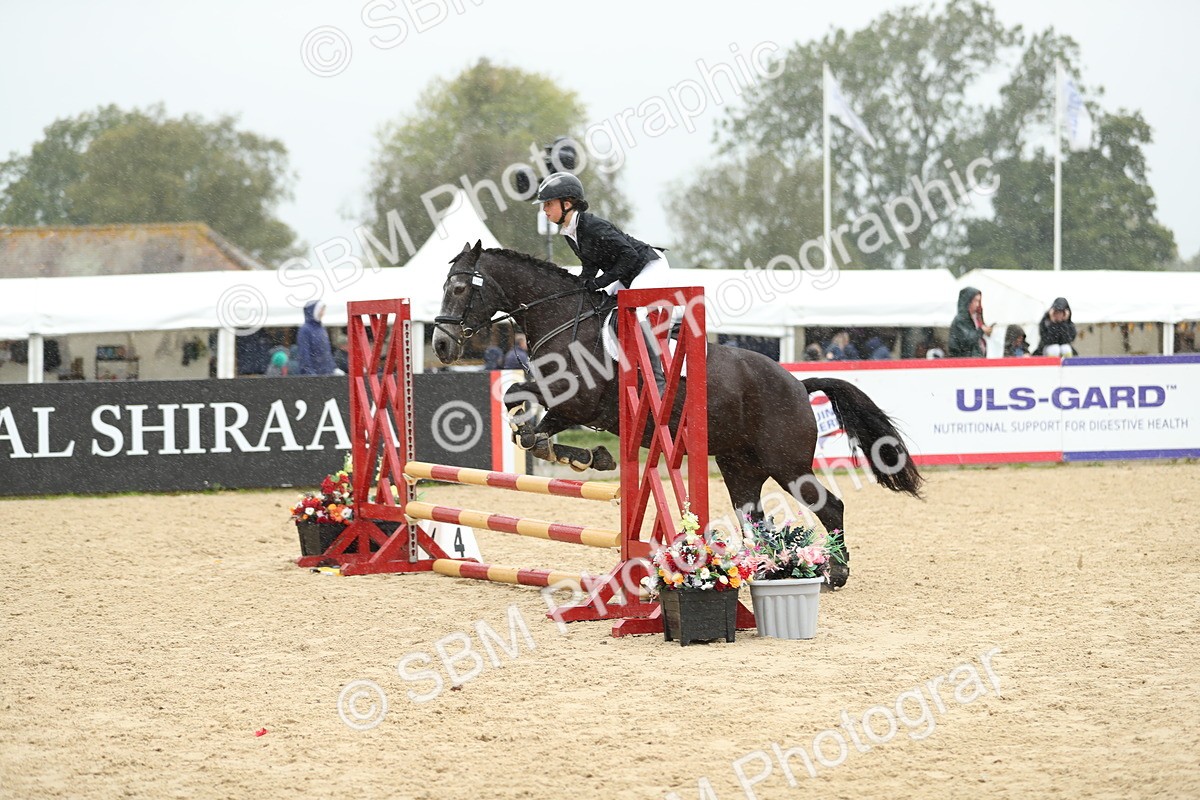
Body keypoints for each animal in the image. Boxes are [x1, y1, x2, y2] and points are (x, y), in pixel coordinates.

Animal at [430, 241, 923, 588]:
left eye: (459, 288)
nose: (441, 346)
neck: (561, 319)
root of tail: (797, 384)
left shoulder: (578, 402)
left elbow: (526, 411)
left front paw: (583, 455)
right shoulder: (566, 405)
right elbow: (524, 413)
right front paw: (584, 456)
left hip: (787, 464)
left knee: (829, 506)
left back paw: (836, 572)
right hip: (740, 467)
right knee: (754, 520)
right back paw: (767, 570)